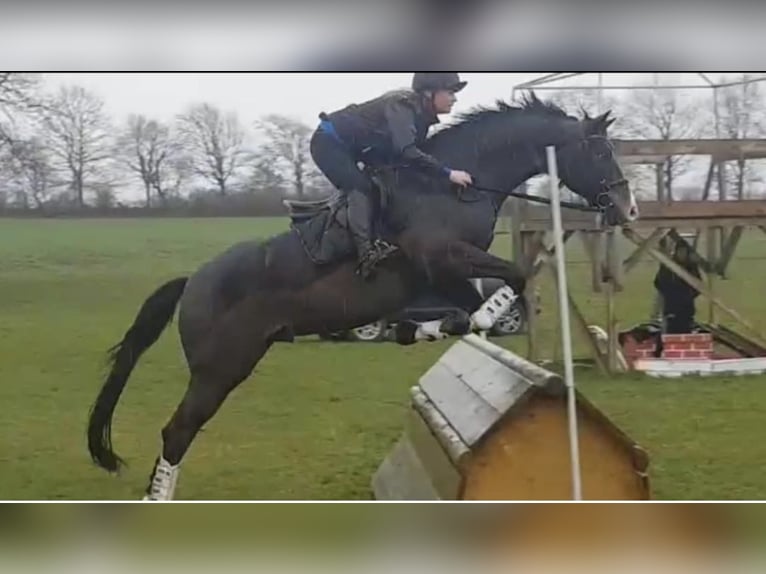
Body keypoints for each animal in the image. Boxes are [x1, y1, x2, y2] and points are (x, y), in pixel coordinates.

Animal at [85, 93, 636, 500]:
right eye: (600, 152)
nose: (627, 208)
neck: (452, 186)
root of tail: (193, 280)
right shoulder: (441, 257)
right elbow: (515, 276)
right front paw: (473, 321)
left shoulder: (441, 274)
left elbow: (472, 303)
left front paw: (427, 329)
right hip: (219, 369)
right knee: (177, 432)